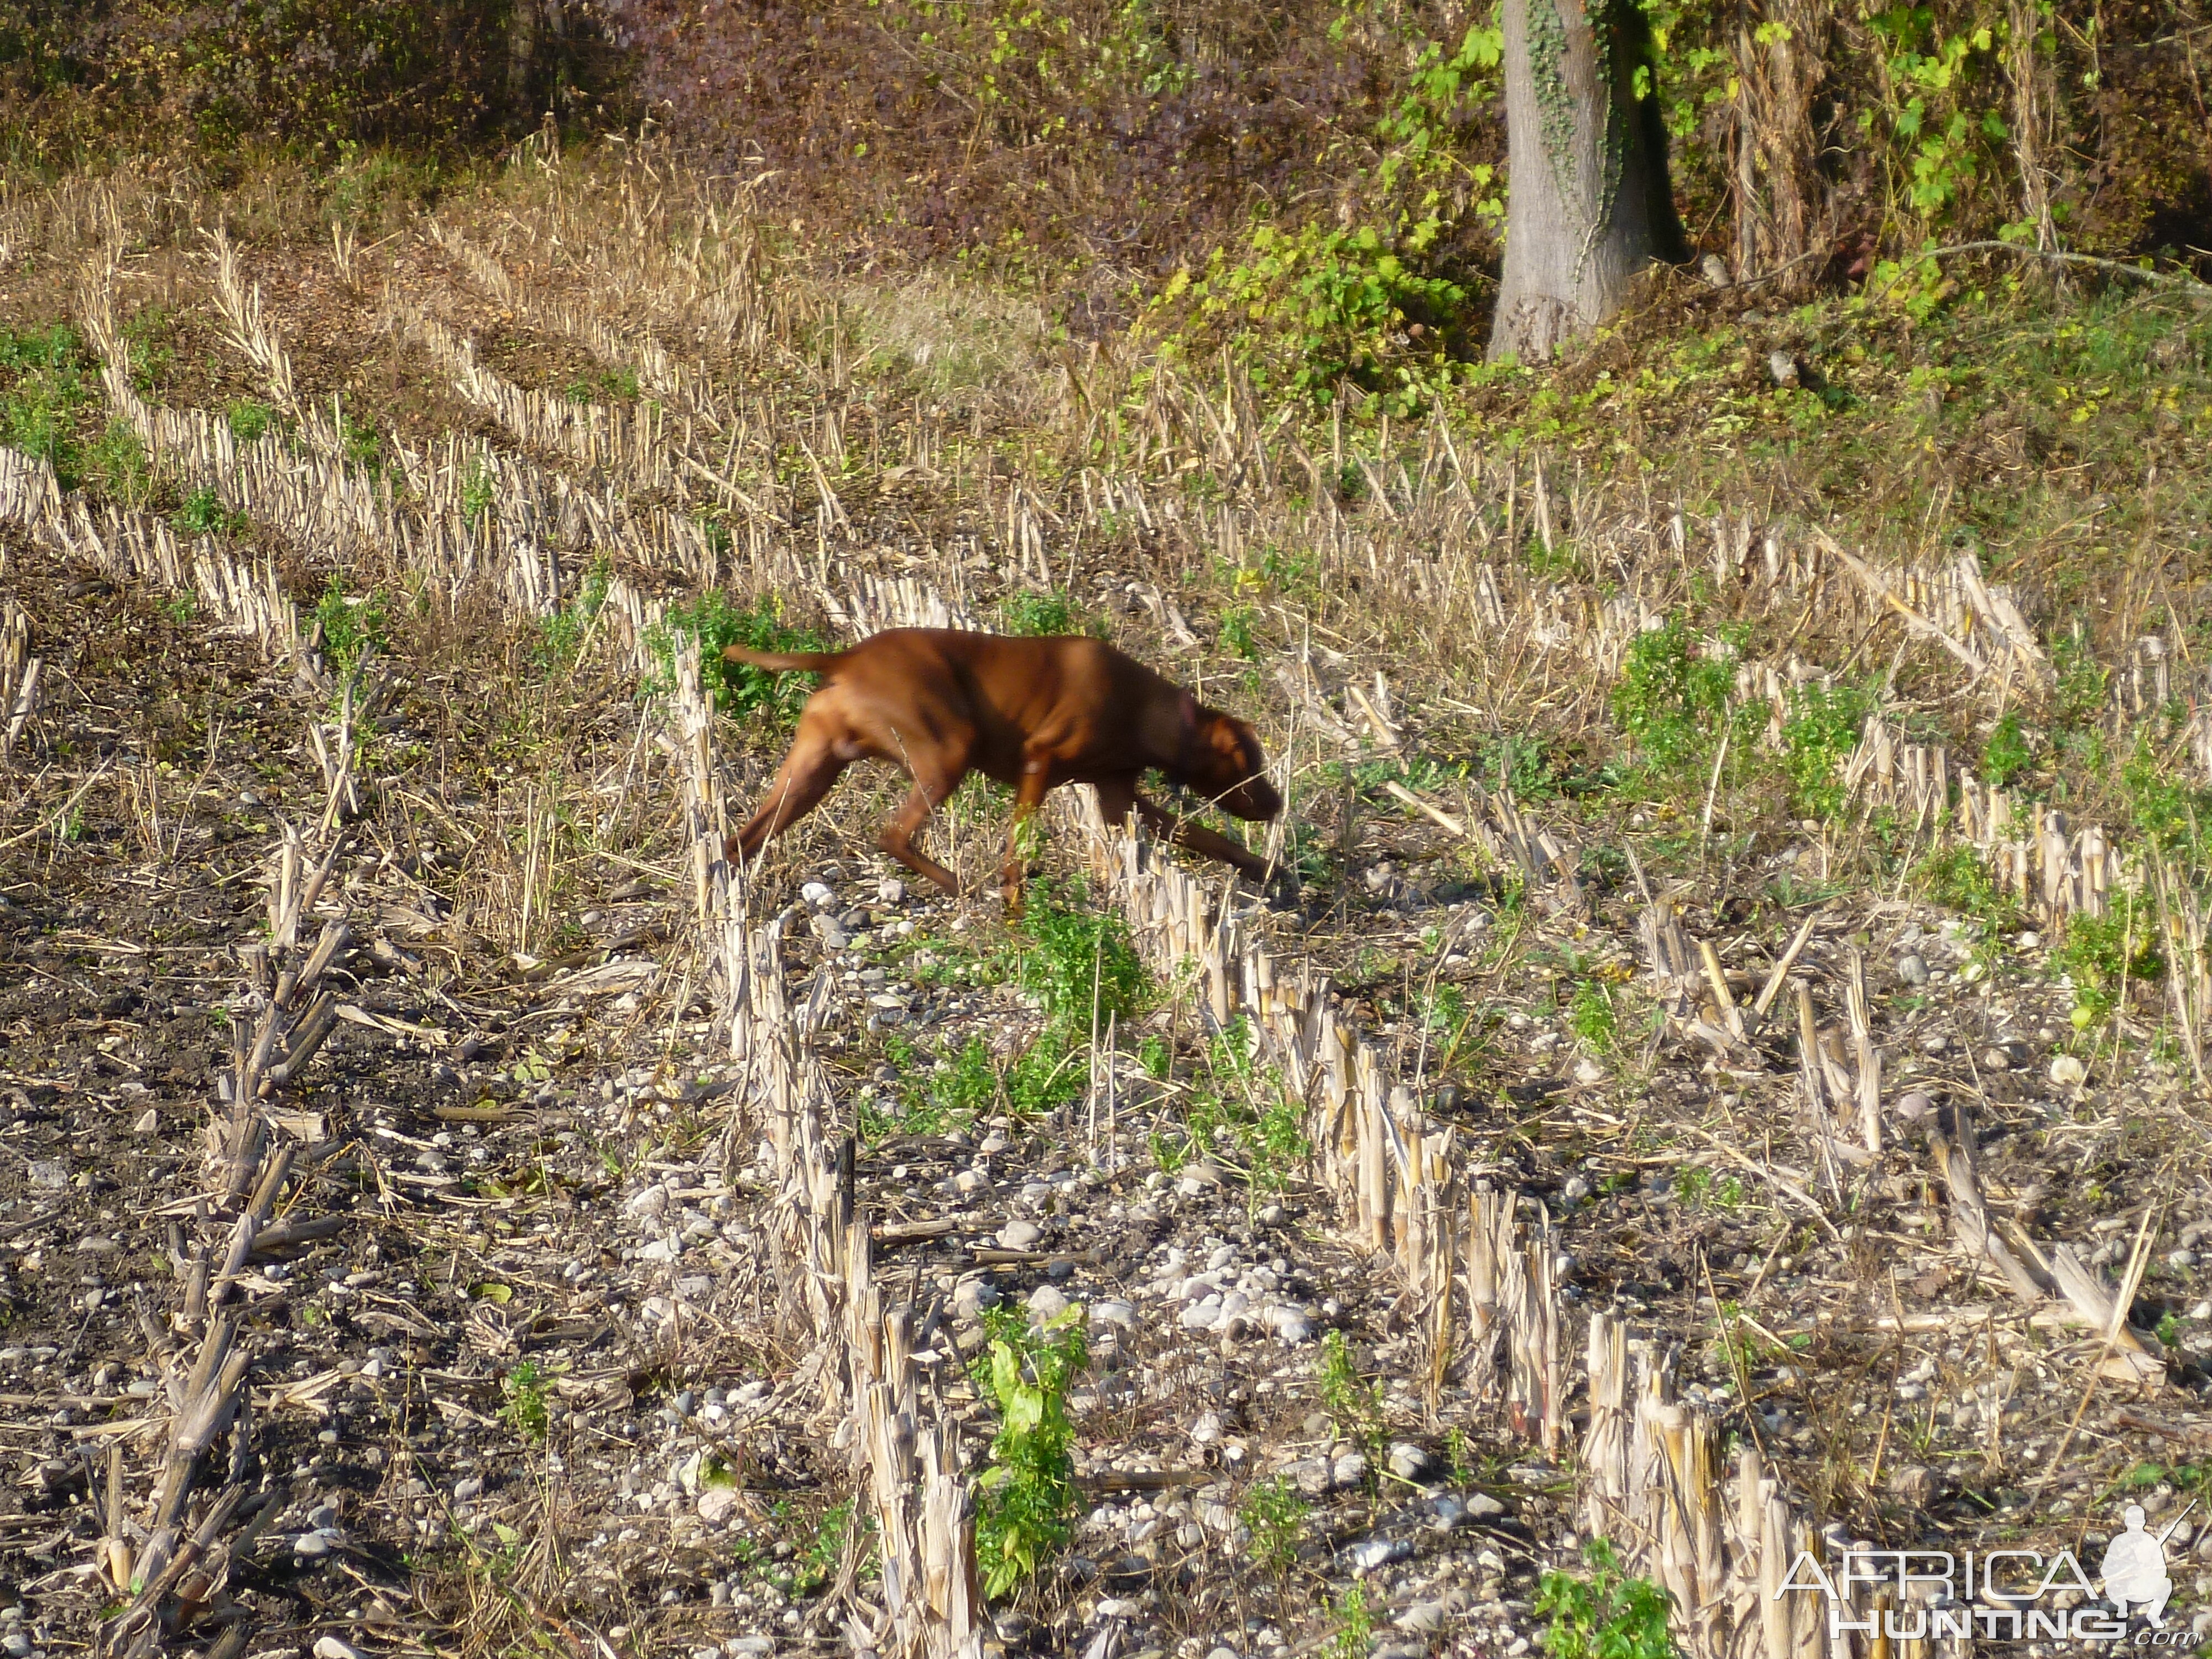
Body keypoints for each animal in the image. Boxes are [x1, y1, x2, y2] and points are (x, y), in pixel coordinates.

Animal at [717, 628, 1292, 911]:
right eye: (1252, 767)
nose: (1277, 802)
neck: (1148, 708)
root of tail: (844, 658)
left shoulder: (1120, 799)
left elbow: (1208, 838)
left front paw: (1267, 870)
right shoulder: (1040, 763)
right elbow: (1018, 849)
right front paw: (1015, 903)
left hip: (811, 774)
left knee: (739, 840)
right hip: (949, 750)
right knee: (892, 835)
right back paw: (962, 887)